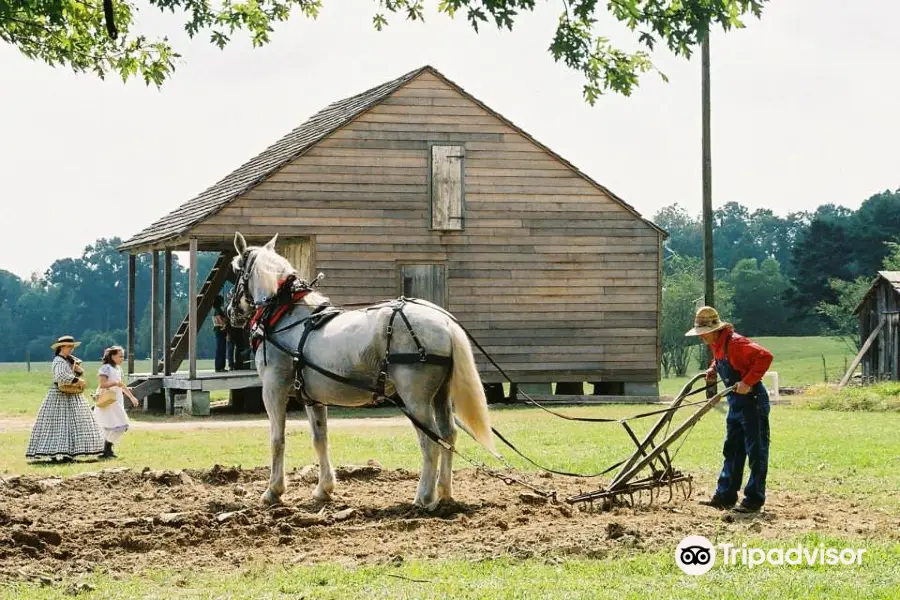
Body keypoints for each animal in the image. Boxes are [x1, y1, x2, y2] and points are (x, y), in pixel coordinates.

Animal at [225, 233, 492, 510]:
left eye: (235, 269)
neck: (284, 314)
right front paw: (324, 489)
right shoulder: (312, 398)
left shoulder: (273, 388)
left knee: (430, 441)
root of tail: (445, 322)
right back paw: (445, 492)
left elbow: (277, 439)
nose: (230, 312)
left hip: (416, 400)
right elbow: (320, 438)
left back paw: (424, 497)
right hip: (441, 394)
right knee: (448, 434)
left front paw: (273, 491)